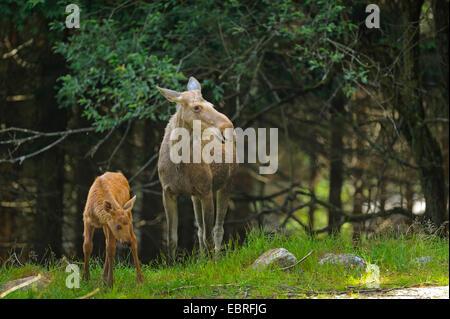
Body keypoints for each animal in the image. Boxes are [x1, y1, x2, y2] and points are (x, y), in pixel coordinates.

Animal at [156, 77, 237, 260]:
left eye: (212, 104)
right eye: (196, 107)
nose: (228, 126)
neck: (178, 165)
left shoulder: (206, 190)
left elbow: (209, 235)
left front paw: (212, 264)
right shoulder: (167, 191)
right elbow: (172, 239)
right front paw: (172, 263)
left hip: (226, 184)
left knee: (218, 229)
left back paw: (216, 258)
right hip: (195, 196)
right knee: (200, 229)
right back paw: (201, 259)